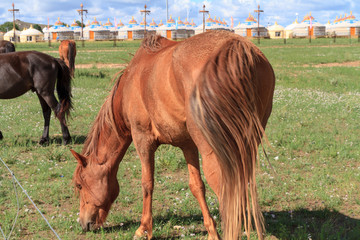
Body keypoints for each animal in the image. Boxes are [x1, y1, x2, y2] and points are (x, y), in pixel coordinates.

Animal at [71, 31, 276, 239]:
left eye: (79, 185)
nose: (83, 223)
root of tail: (235, 48)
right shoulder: (188, 144)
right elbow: (196, 186)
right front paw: (211, 230)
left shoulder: (143, 140)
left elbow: (147, 184)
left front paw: (143, 228)